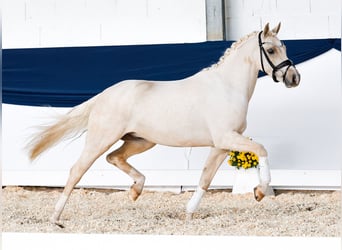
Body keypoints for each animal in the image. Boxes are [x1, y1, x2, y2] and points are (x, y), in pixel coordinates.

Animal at [27, 23, 300, 227]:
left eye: (284, 46)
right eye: (271, 50)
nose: (294, 78)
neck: (226, 87)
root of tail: (104, 94)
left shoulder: (221, 145)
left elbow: (205, 178)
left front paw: (189, 212)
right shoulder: (226, 138)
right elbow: (262, 149)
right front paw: (259, 191)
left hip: (141, 141)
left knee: (114, 158)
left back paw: (135, 190)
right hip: (101, 139)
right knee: (77, 170)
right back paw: (56, 218)